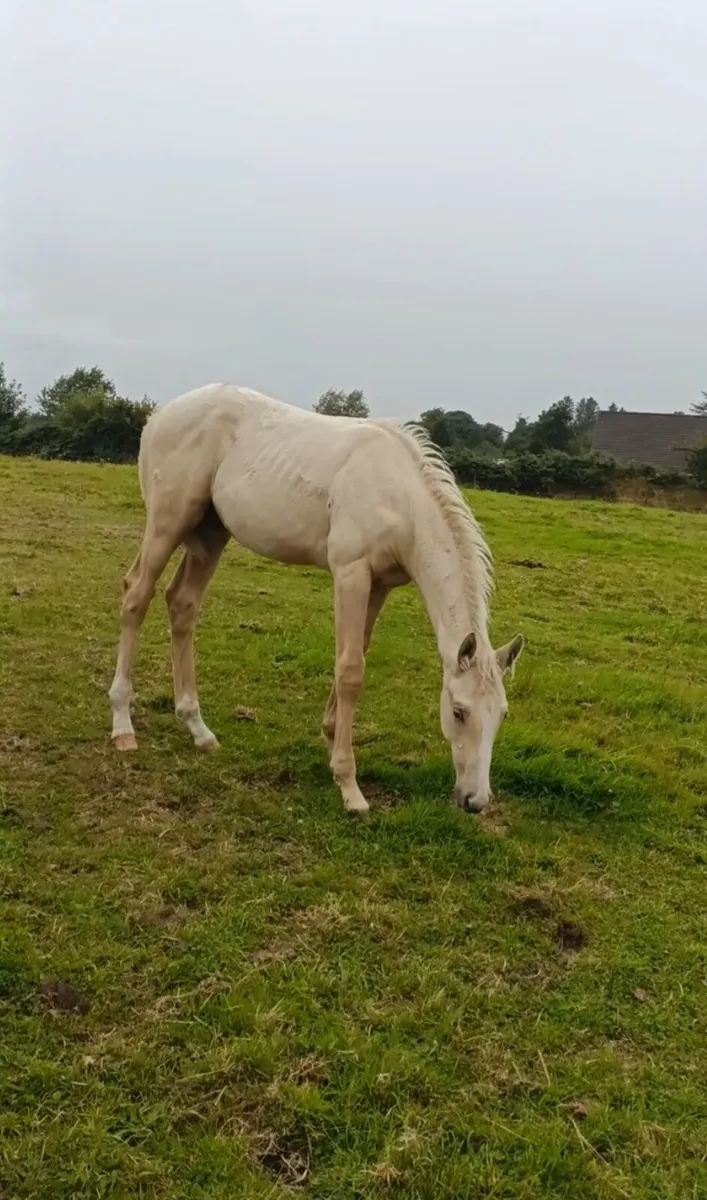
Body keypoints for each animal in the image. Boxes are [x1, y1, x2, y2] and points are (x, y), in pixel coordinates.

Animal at [109, 384, 523, 815]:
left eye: (502, 714)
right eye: (458, 711)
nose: (475, 800)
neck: (399, 497)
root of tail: (161, 414)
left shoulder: (380, 585)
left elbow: (355, 655)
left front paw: (329, 736)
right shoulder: (351, 573)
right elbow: (351, 669)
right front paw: (349, 785)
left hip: (210, 533)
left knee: (182, 603)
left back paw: (198, 728)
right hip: (168, 522)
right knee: (136, 594)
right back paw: (122, 725)